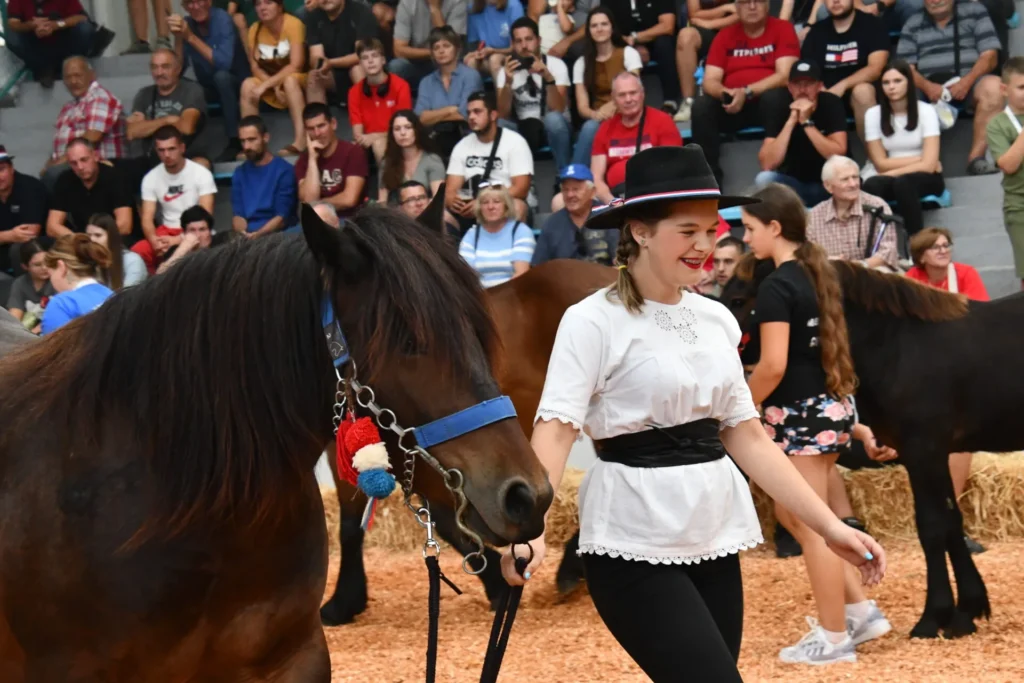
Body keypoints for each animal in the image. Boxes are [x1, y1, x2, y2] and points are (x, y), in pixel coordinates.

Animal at [721, 255, 1024, 639]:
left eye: (739, 299)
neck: (898, 345)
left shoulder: (923, 451)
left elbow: (932, 527)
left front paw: (932, 617)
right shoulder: (933, 454)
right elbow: (952, 522)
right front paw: (966, 612)